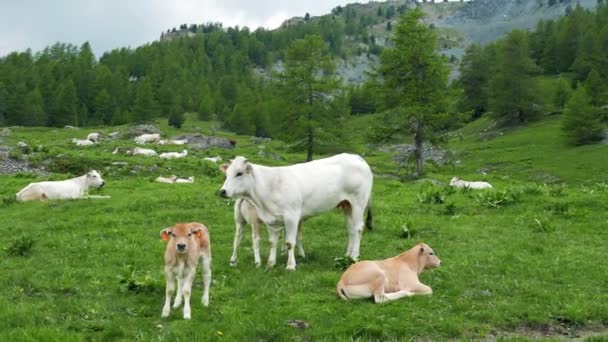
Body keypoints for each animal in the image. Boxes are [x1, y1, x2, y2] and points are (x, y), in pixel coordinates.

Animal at [216, 154, 372, 270]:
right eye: (226, 173)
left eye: (239, 173)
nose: (222, 191)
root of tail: (356, 157)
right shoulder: (271, 220)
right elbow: (272, 242)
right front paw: (270, 264)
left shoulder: (291, 216)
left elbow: (290, 242)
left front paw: (290, 266)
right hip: (347, 205)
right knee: (351, 230)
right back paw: (347, 255)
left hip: (358, 202)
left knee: (358, 228)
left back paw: (355, 257)